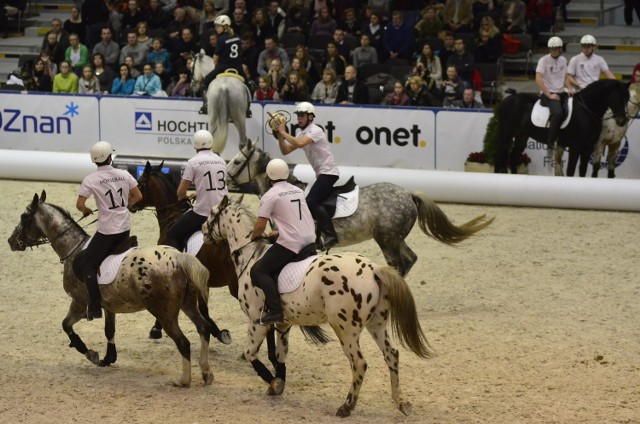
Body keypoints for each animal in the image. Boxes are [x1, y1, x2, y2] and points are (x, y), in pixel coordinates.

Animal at [6, 192, 220, 388]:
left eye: (24, 217)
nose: (10, 241)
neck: (73, 249)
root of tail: (180, 257)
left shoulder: (79, 303)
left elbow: (66, 325)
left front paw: (90, 353)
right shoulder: (108, 306)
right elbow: (109, 330)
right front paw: (109, 357)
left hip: (164, 312)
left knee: (183, 341)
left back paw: (184, 380)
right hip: (188, 304)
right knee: (203, 329)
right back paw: (206, 372)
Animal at [129, 161, 239, 340]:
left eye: (139, 184)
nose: (129, 204)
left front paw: (156, 328)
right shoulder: (200, 279)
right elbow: (203, 308)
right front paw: (216, 330)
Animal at [205, 195, 436, 418]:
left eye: (211, 213)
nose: (203, 231)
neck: (253, 255)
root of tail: (373, 269)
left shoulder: (256, 321)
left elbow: (251, 353)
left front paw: (273, 382)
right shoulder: (282, 324)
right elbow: (280, 355)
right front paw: (278, 383)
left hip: (345, 329)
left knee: (359, 363)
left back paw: (346, 406)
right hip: (376, 324)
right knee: (392, 355)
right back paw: (401, 402)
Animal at [225, 141, 496, 276]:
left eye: (237, 162)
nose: (225, 180)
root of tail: (407, 194)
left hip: (386, 240)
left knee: (399, 264)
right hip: (394, 238)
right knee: (409, 260)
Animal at [496, 79, 632, 176]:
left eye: (627, 98)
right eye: (616, 98)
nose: (622, 121)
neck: (586, 110)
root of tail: (507, 99)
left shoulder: (587, 148)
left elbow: (582, 171)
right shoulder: (575, 148)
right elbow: (571, 171)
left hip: (521, 136)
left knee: (513, 159)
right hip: (505, 136)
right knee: (499, 159)